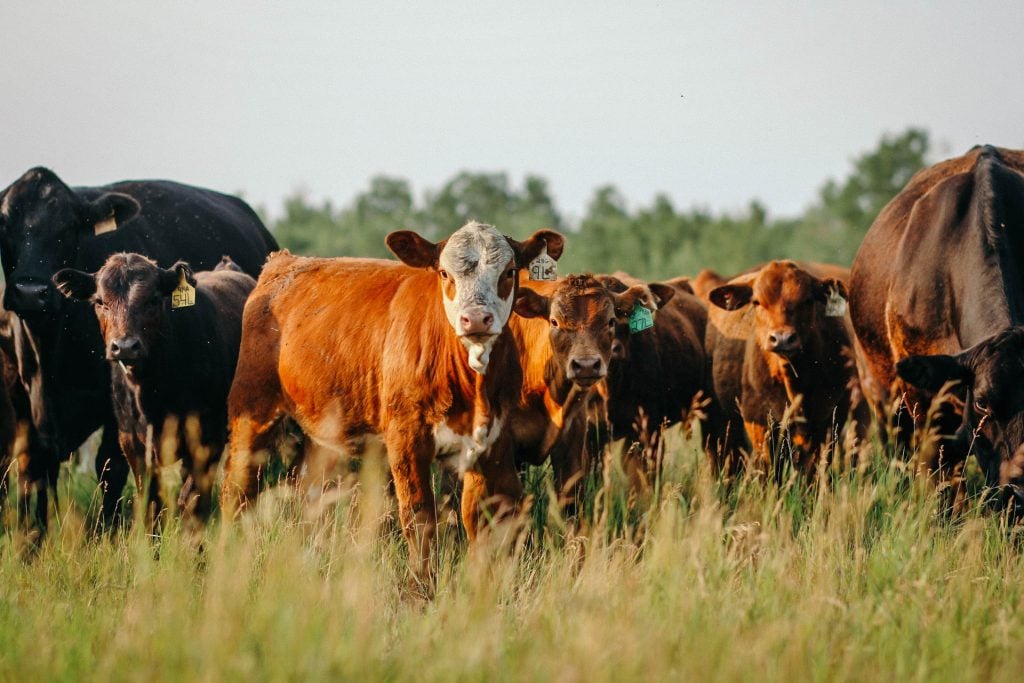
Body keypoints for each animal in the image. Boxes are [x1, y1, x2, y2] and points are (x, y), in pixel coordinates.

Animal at [53, 254, 255, 529]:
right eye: (100, 302)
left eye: (152, 300)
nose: (125, 346)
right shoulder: (132, 444)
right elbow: (152, 501)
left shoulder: (209, 439)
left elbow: (192, 500)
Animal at [220, 222, 564, 582]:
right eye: (445, 273)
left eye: (509, 271)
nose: (476, 318)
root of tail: (283, 263)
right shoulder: (407, 439)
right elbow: (419, 518)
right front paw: (422, 587)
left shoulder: (492, 445)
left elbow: (484, 521)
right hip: (252, 410)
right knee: (237, 490)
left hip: (324, 433)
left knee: (308, 492)